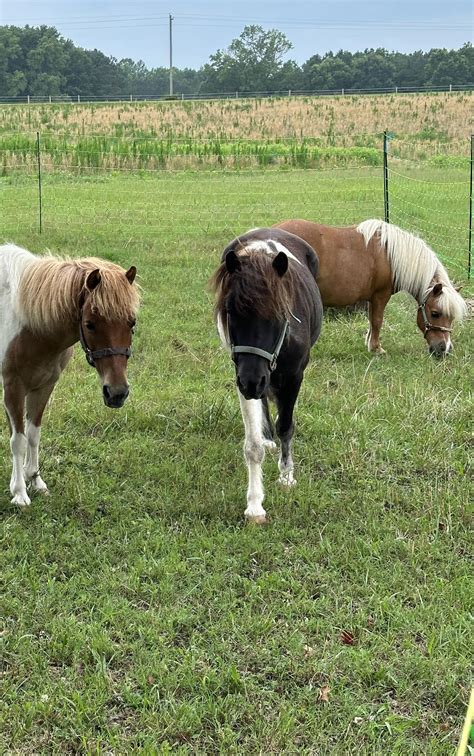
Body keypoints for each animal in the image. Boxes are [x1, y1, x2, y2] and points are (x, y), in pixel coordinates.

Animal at [0, 243, 139, 507]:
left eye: (132, 322)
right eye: (90, 323)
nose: (117, 393)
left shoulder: (44, 385)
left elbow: (33, 433)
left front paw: (35, 480)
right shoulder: (14, 387)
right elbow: (18, 440)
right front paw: (20, 493)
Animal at [210, 228, 323, 524]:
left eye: (278, 315)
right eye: (230, 311)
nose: (251, 381)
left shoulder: (294, 375)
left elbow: (287, 425)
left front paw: (286, 475)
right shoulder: (242, 375)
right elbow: (252, 445)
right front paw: (255, 505)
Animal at [275, 219, 467, 357]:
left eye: (452, 317)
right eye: (435, 313)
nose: (444, 349)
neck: (390, 254)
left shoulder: (371, 298)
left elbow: (371, 320)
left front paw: (369, 344)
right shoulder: (381, 295)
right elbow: (377, 321)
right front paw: (376, 348)